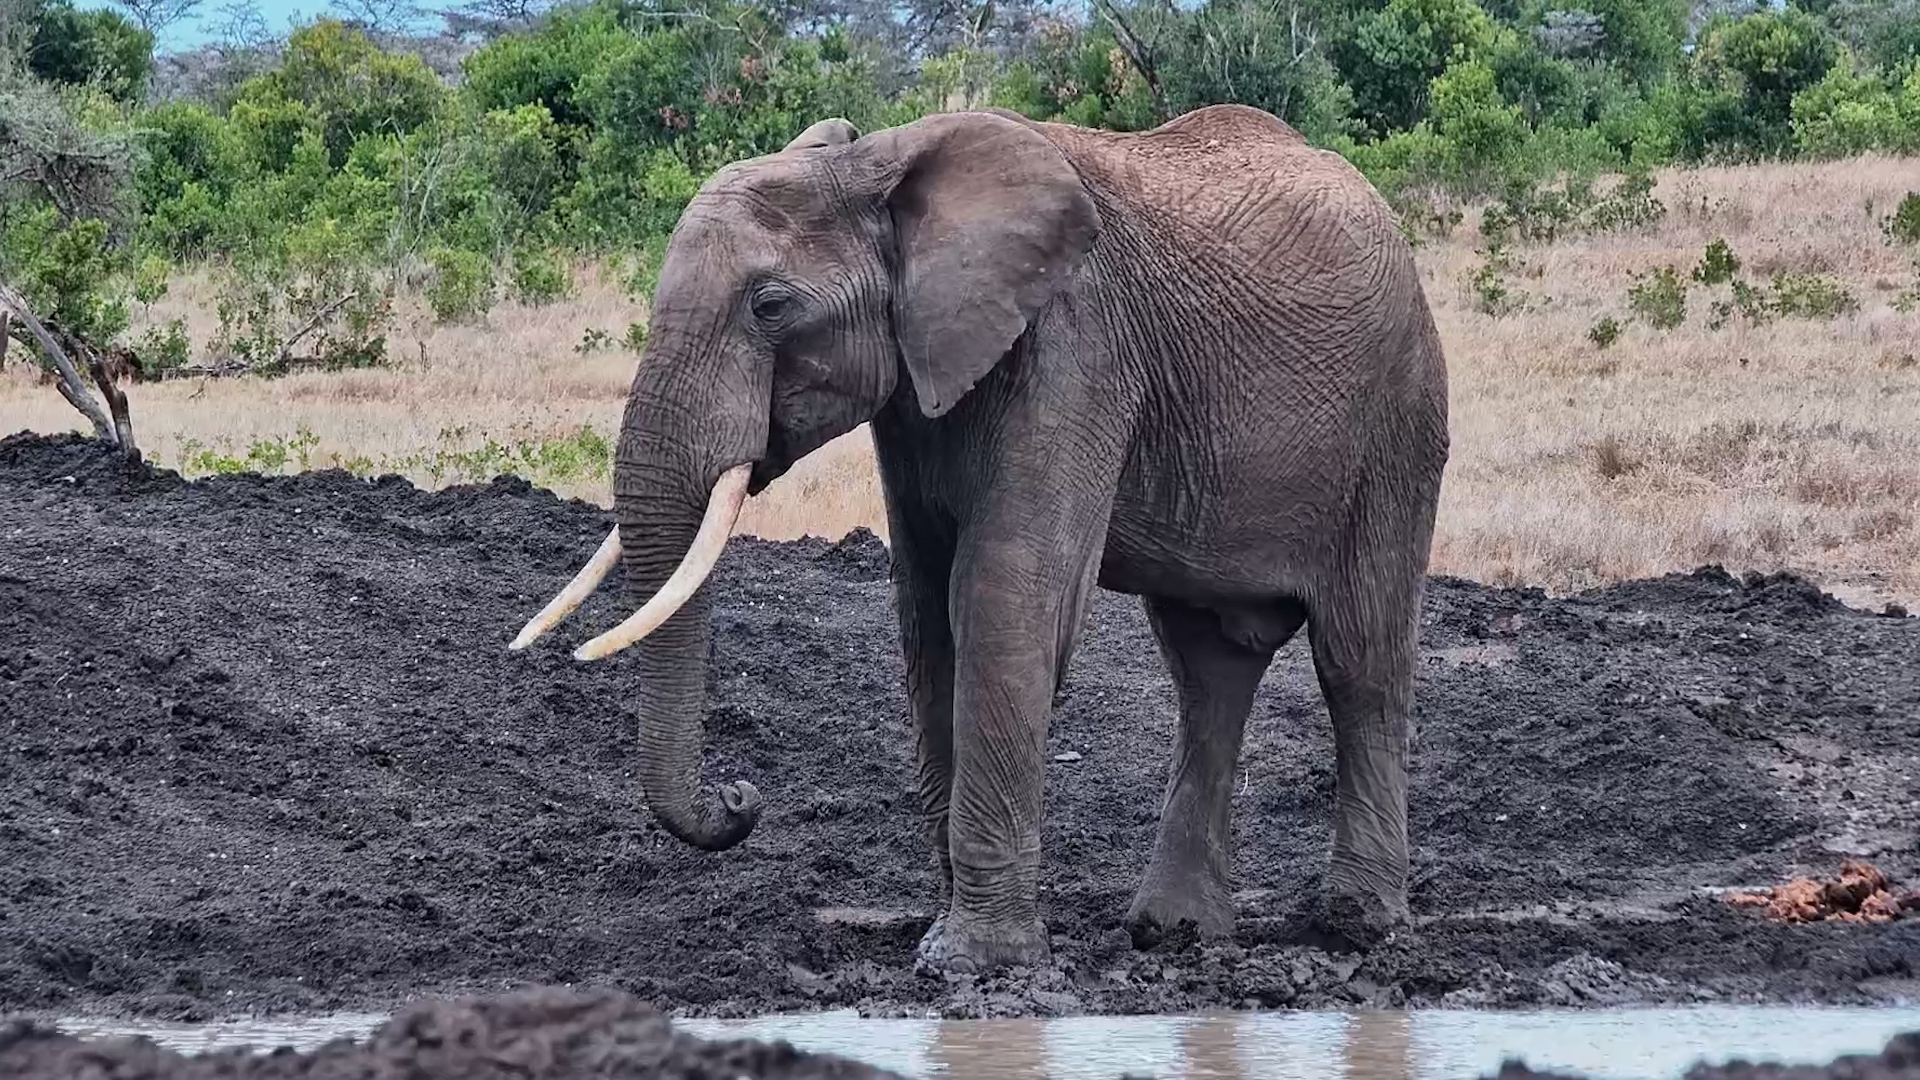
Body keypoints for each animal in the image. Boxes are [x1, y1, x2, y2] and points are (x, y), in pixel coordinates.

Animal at [510, 103, 1450, 974]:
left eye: (770, 306)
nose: (741, 799)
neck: (878, 167)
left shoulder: (1075, 348)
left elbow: (1000, 599)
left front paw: (970, 962)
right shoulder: (918, 390)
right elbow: (928, 613)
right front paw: (952, 935)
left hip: (1398, 421)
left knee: (1358, 658)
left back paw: (1360, 926)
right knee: (1207, 668)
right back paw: (1176, 934)